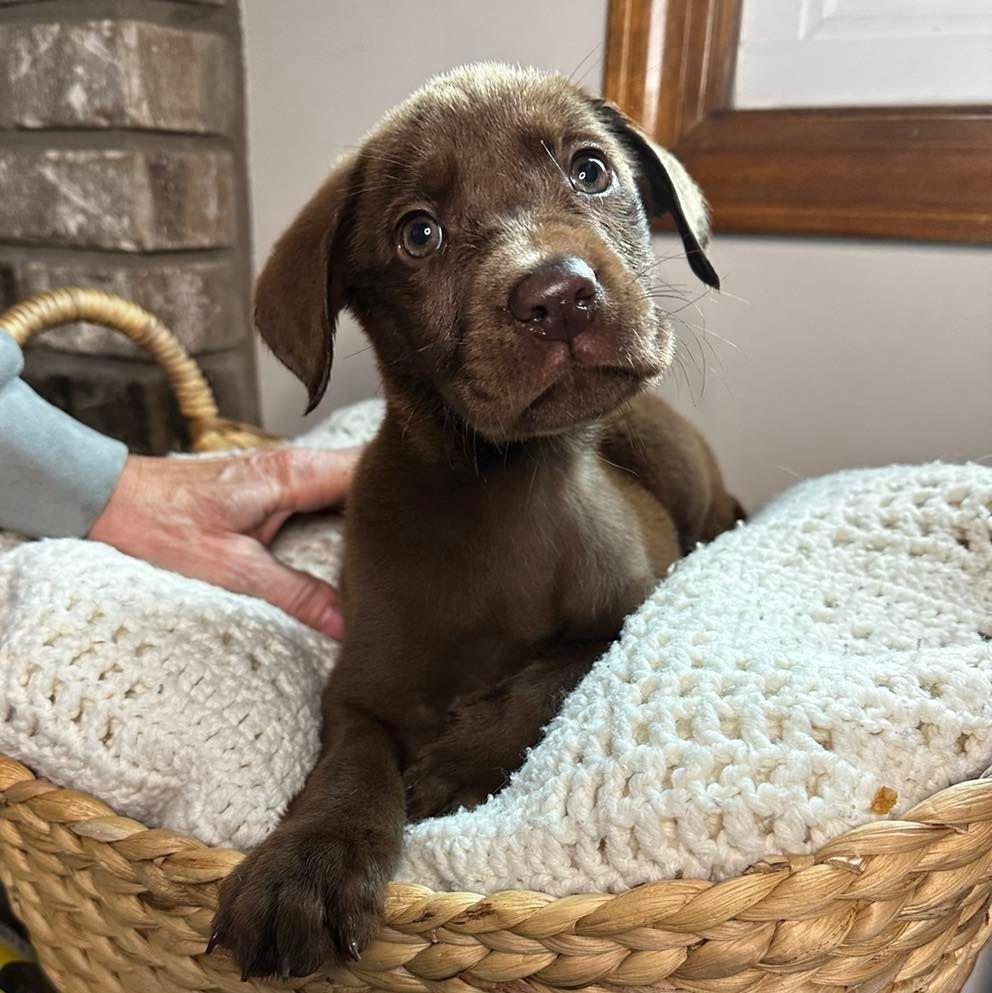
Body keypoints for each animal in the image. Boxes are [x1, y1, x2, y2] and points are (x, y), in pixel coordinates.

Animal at [209, 63, 741, 979]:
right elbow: (349, 770)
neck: (509, 486)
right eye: (418, 234)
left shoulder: (632, 608)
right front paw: (305, 865)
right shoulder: (358, 689)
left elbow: (552, 672)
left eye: (591, 171)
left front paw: (455, 763)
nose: (561, 296)